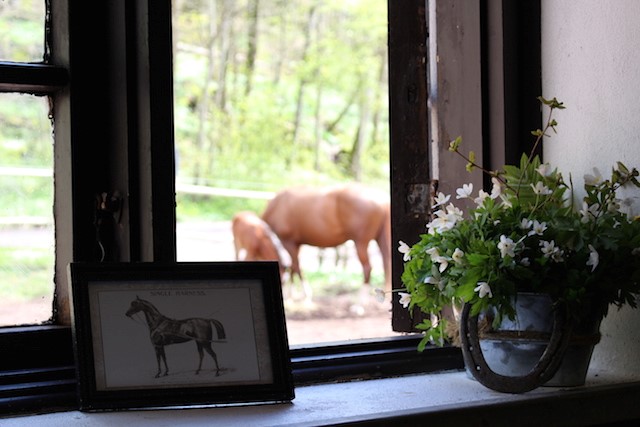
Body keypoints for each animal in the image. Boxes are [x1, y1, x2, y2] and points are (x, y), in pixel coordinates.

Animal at [260, 184, 390, 294]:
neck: (278, 206)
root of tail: (382, 200)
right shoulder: (297, 244)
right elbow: (293, 267)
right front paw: (292, 294)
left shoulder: (288, 242)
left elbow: (296, 267)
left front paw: (304, 295)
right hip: (380, 239)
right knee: (386, 265)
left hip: (361, 242)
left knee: (367, 268)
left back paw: (360, 304)